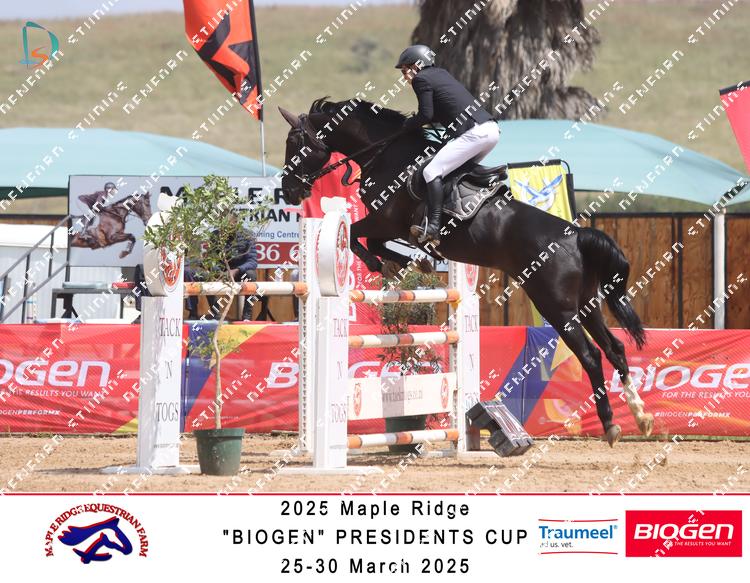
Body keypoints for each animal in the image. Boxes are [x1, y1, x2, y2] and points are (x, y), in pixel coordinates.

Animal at [277, 98, 654, 446]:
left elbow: (358, 236)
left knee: (590, 356)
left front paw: (387, 264)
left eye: (295, 142)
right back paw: (641, 415)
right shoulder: (389, 226)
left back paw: (611, 425)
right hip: (586, 305)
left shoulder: (386, 219)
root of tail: (576, 236)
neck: (388, 155)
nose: (289, 190)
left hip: (557, 308)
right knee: (615, 349)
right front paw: (411, 263)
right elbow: (375, 242)